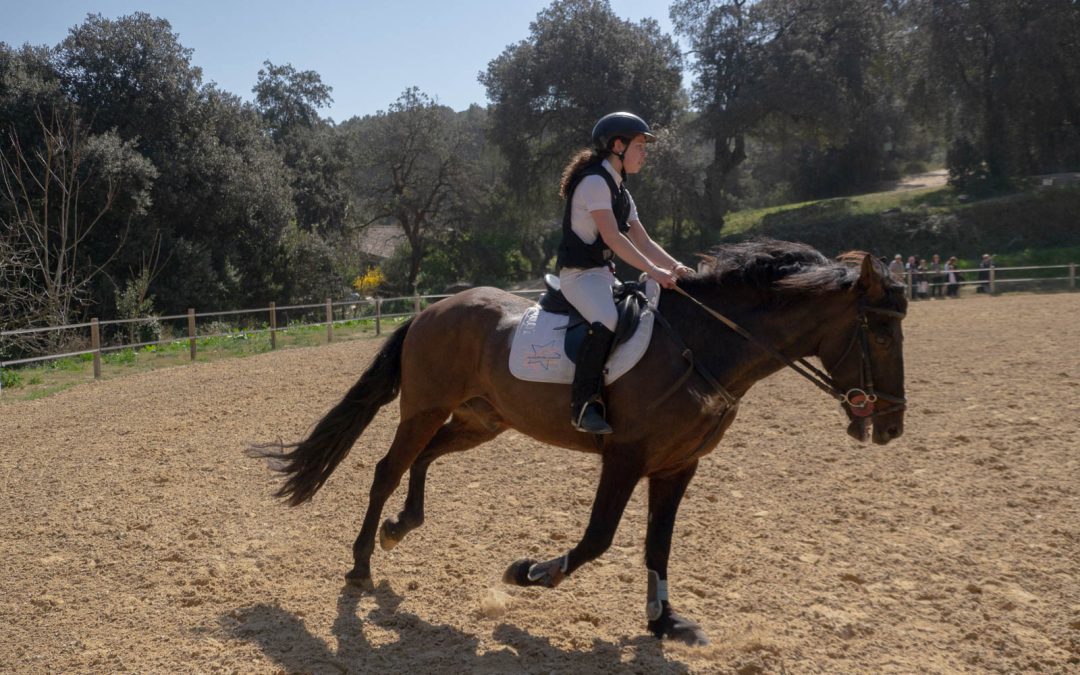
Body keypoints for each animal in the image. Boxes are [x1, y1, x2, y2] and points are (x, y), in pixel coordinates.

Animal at [248, 236, 907, 643]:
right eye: (877, 330)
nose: (893, 424)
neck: (704, 346)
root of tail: (433, 310)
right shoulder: (625, 457)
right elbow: (597, 540)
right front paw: (531, 573)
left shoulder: (678, 467)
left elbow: (658, 546)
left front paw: (665, 622)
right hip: (425, 408)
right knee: (387, 468)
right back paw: (362, 561)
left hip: (482, 421)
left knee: (425, 459)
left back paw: (401, 527)